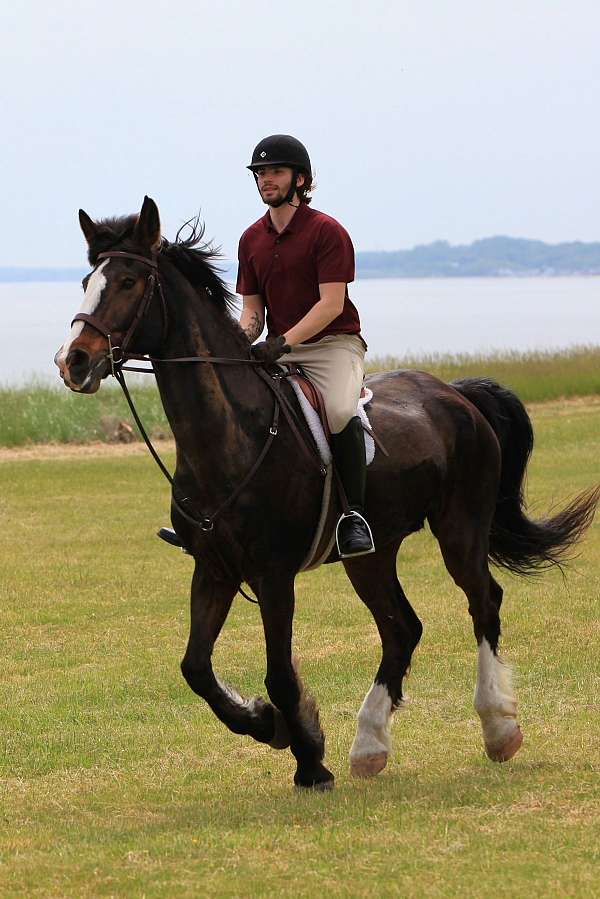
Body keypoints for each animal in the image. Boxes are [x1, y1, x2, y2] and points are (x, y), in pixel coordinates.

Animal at [55, 196, 599, 790]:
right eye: (87, 280)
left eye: (129, 281)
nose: (73, 361)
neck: (234, 436)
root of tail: (455, 394)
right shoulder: (214, 568)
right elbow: (195, 668)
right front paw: (270, 726)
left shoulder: (273, 576)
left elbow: (277, 672)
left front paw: (309, 760)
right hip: (372, 552)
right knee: (402, 627)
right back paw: (370, 745)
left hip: (460, 528)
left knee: (484, 602)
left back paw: (499, 729)